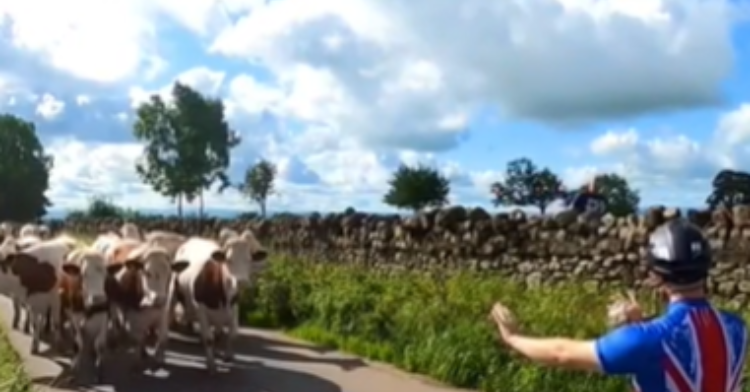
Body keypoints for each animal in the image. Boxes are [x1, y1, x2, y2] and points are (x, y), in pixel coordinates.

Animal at [170, 236, 268, 374]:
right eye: (228, 260)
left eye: (249, 260)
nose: (242, 281)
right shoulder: (201, 310)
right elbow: (208, 339)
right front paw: (211, 365)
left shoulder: (234, 309)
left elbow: (232, 334)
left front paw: (227, 356)